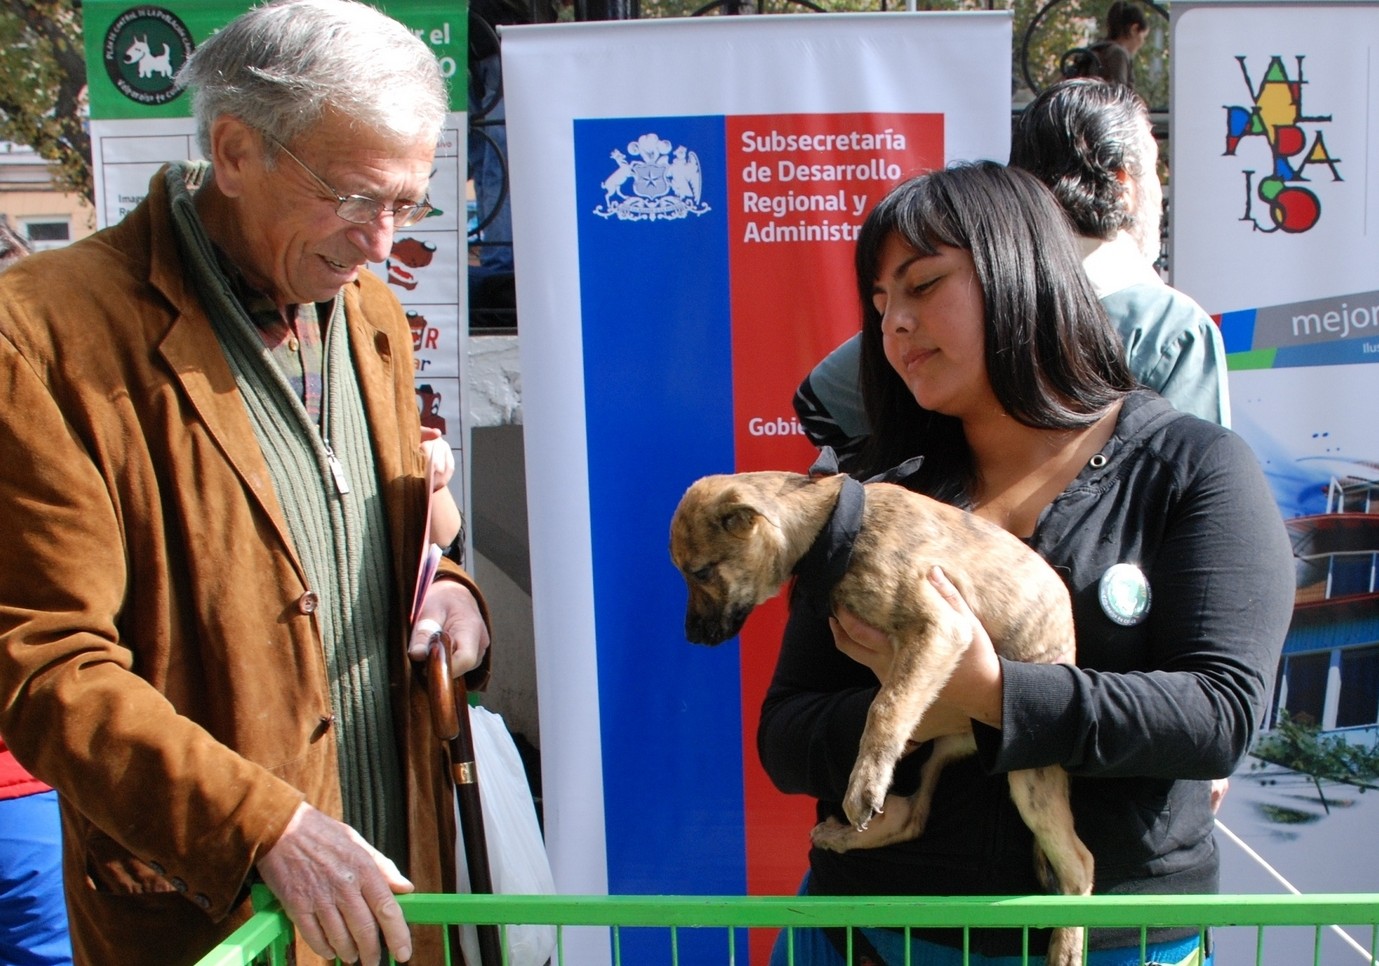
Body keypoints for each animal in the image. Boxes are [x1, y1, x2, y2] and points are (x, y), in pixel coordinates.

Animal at [672, 468, 1092, 964]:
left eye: (700, 572)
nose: (691, 636)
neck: (833, 525)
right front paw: (866, 784)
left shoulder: (940, 626)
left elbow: (885, 706)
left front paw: (864, 779)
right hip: (937, 754)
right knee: (914, 815)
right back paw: (846, 836)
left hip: (1030, 780)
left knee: (1080, 865)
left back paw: (1067, 945)